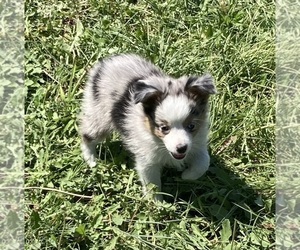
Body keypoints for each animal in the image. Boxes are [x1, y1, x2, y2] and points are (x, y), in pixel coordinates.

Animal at [79, 53, 216, 200]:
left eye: (191, 126)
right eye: (164, 128)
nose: (181, 148)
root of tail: (107, 62)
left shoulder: (196, 143)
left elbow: (204, 162)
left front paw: (187, 176)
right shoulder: (147, 160)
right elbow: (152, 184)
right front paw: (156, 202)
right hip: (99, 116)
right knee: (87, 136)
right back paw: (91, 160)